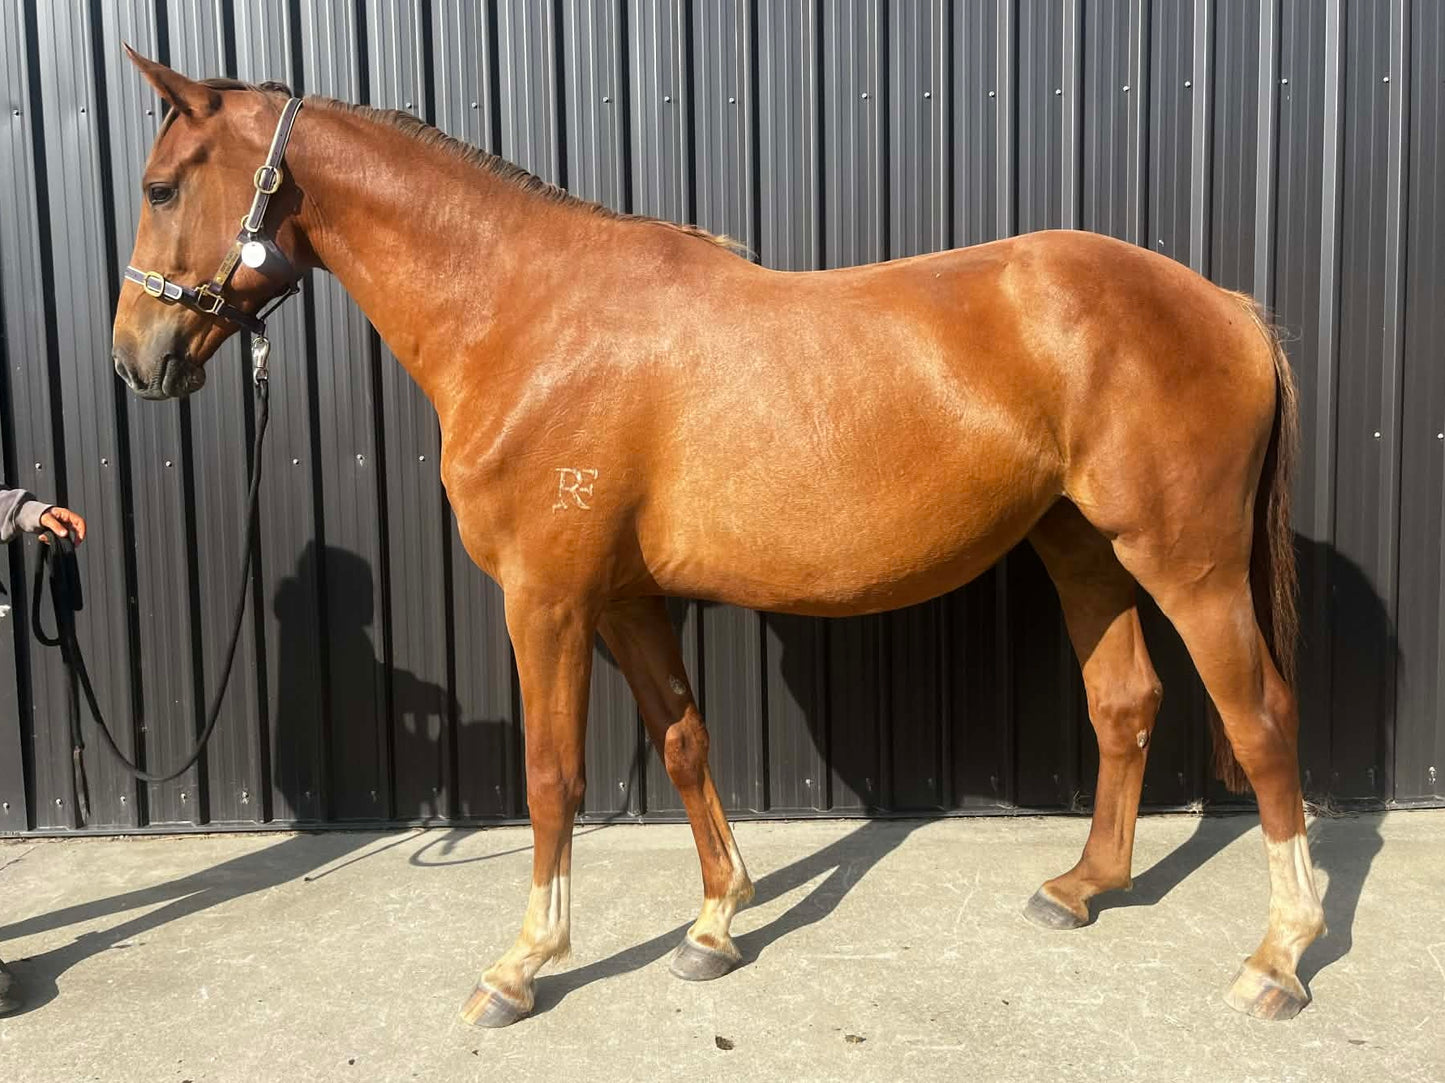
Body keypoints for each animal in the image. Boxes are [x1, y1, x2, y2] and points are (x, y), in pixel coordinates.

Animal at [110, 49, 1323, 1028]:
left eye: (162, 186)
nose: (136, 359)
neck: (526, 316)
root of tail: (1226, 306)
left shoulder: (545, 598)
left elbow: (550, 773)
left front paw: (523, 965)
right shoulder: (625, 600)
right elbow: (684, 740)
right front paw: (715, 923)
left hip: (1186, 562)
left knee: (1261, 720)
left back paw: (1278, 955)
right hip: (1080, 549)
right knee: (1124, 703)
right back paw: (1081, 887)